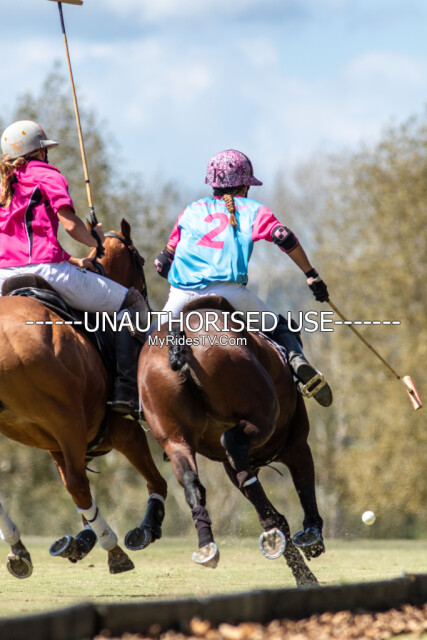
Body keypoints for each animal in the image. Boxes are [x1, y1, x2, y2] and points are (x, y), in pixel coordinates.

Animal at [0, 219, 167, 578]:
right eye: (140, 260)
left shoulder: (53, 442)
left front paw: (82, 538)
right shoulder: (120, 429)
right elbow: (157, 482)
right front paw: (148, 527)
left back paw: (20, 550)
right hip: (68, 418)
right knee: (78, 484)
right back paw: (114, 549)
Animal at [138, 296, 325, 587]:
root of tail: (180, 333)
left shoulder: (229, 465)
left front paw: (300, 570)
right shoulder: (296, 444)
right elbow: (304, 484)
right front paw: (312, 539)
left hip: (173, 436)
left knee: (192, 482)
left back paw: (208, 546)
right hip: (260, 416)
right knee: (233, 442)